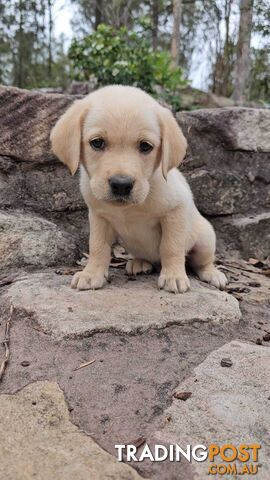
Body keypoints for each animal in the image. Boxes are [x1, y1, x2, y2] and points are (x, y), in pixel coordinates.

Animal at [50, 85, 226, 292]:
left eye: (145, 146)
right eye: (97, 142)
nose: (121, 184)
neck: (129, 209)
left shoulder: (175, 211)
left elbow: (172, 247)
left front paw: (174, 276)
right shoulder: (99, 217)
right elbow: (97, 247)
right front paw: (91, 274)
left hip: (205, 239)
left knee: (202, 262)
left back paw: (212, 273)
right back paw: (140, 263)